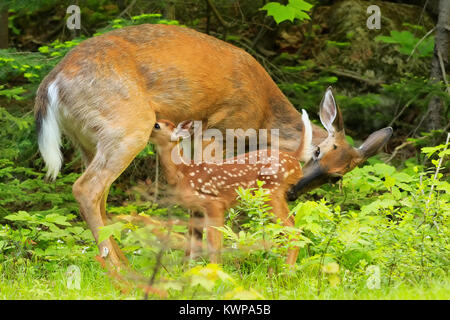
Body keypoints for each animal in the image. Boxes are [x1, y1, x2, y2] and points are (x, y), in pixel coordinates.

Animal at [148, 110, 312, 264]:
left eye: (157, 125)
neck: (183, 171)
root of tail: (294, 158)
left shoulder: (213, 203)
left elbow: (214, 243)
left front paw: (216, 269)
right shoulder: (195, 209)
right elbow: (193, 246)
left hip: (270, 193)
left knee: (293, 229)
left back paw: (287, 270)